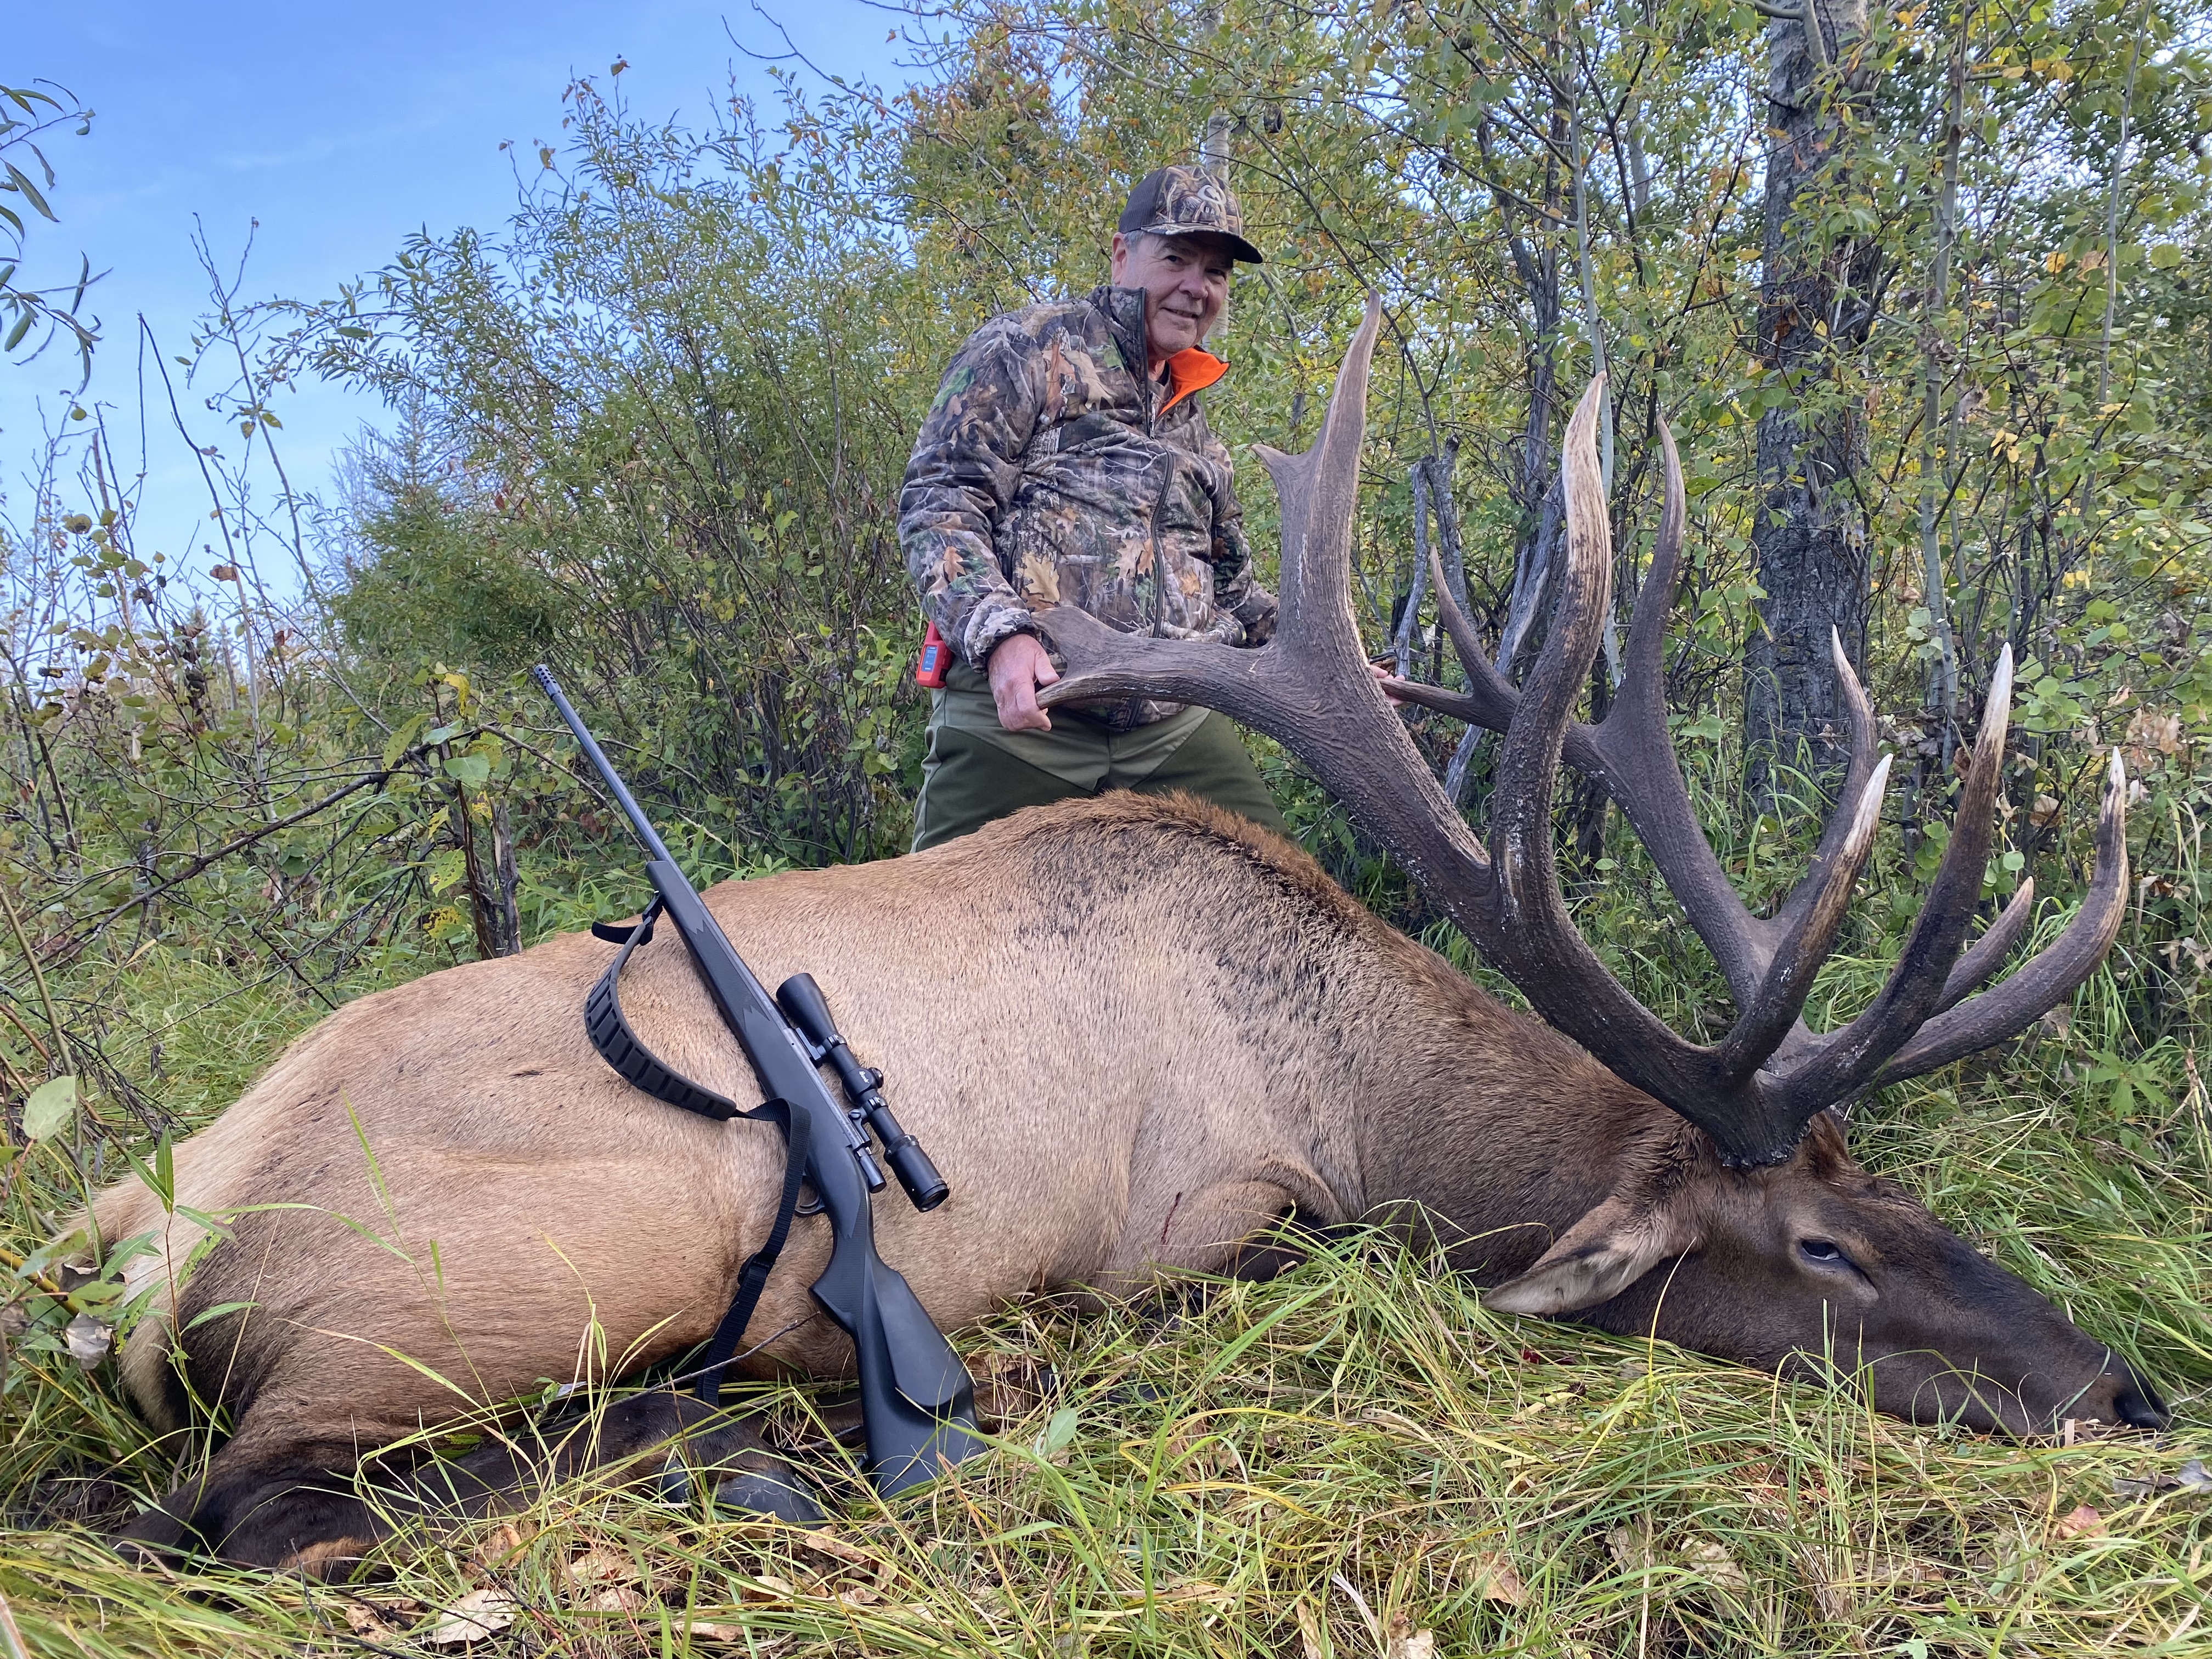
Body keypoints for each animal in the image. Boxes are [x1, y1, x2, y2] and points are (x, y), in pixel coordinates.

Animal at [82, 299, 2159, 1574]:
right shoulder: (1205, 1216)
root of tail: (152, 1230)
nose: (2122, 1390)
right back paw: (741, 1433)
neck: (1352, 1086)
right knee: (249, 1504)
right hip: (518, 1272)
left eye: (1900, 1193)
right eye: (1824, 1247)